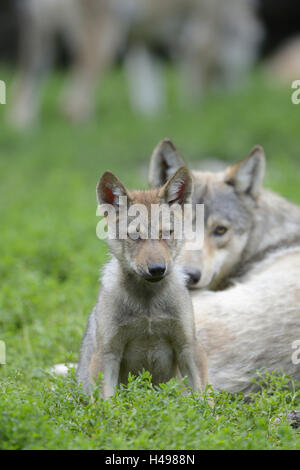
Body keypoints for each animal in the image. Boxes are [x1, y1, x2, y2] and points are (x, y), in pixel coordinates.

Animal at [76, 165, 207, 396]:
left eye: (167, 233)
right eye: (135, 236)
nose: (157, 269)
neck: (148, 307)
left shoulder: (188, 347)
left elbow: (203, 399)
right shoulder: (108, 353)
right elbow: (108, 402)